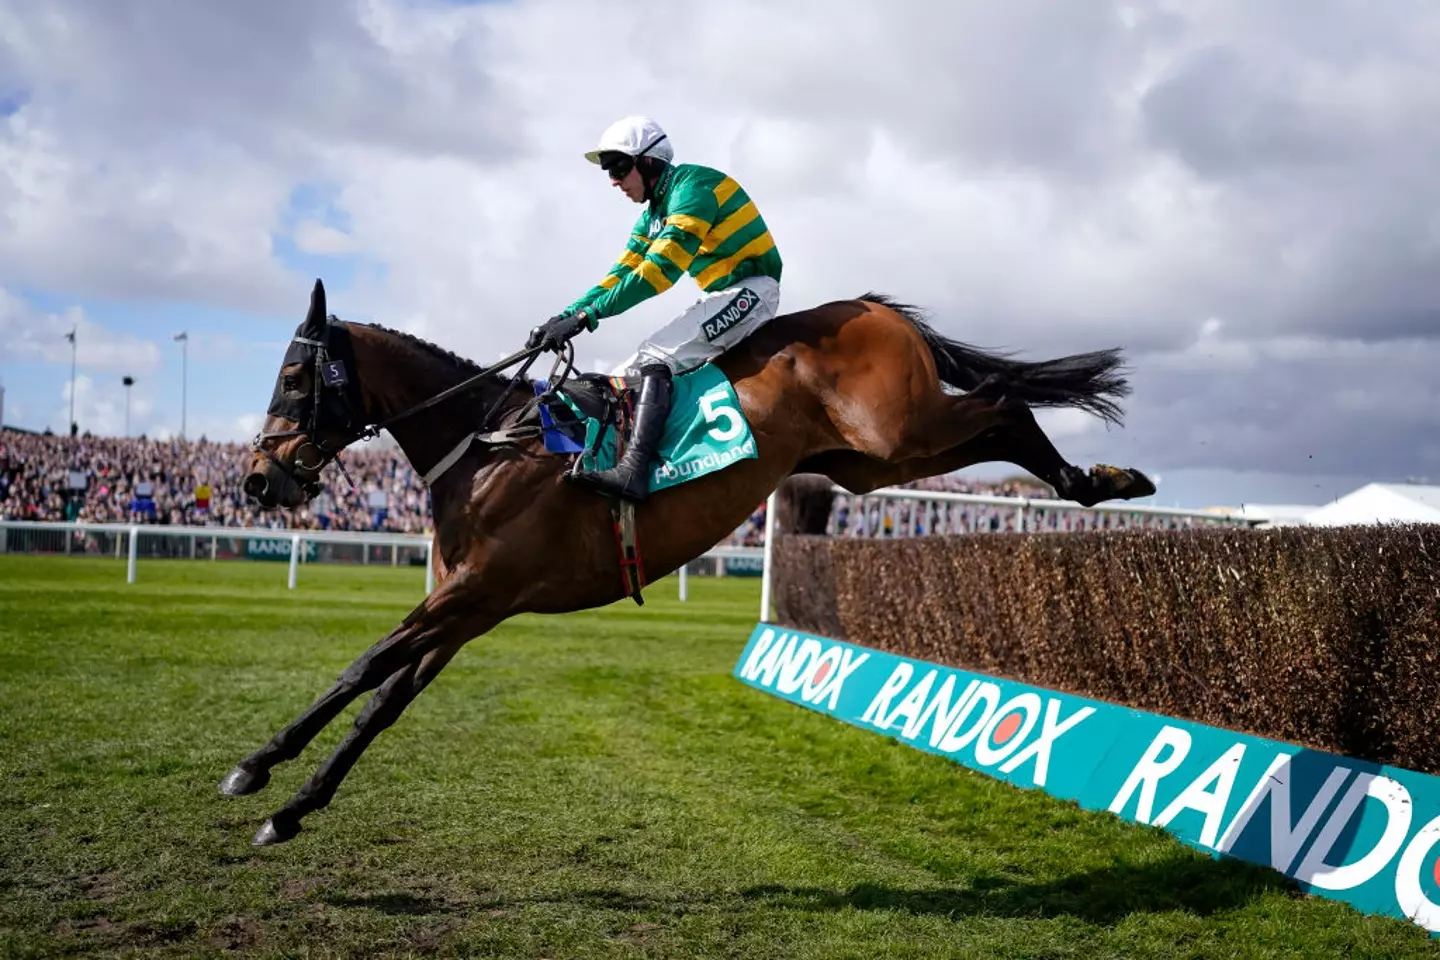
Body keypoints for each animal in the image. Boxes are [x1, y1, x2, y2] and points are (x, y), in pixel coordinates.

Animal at [224, 279, 1152, 846]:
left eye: (295, 375)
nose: (260, 478)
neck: (489, 446)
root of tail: (870, 306)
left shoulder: (477, 590)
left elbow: (363, 665)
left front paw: (258, 768)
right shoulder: (472, 605)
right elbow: (383, 699)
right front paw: (294, 805)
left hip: (900, 430)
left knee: (1004, 404)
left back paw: (1097, 479)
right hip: (872, 462)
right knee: (998, 415)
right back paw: (1097, 481)